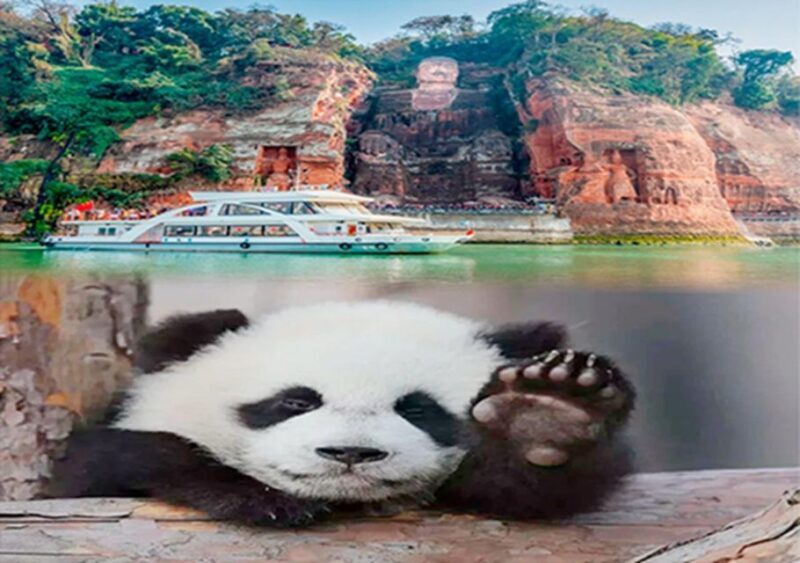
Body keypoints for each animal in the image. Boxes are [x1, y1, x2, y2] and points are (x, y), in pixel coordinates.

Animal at [52, 301, 636, 527]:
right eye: (295, 401)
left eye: (418, 408)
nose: (350, 453)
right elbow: (109, 463)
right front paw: (260, 499)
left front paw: (543, 415)